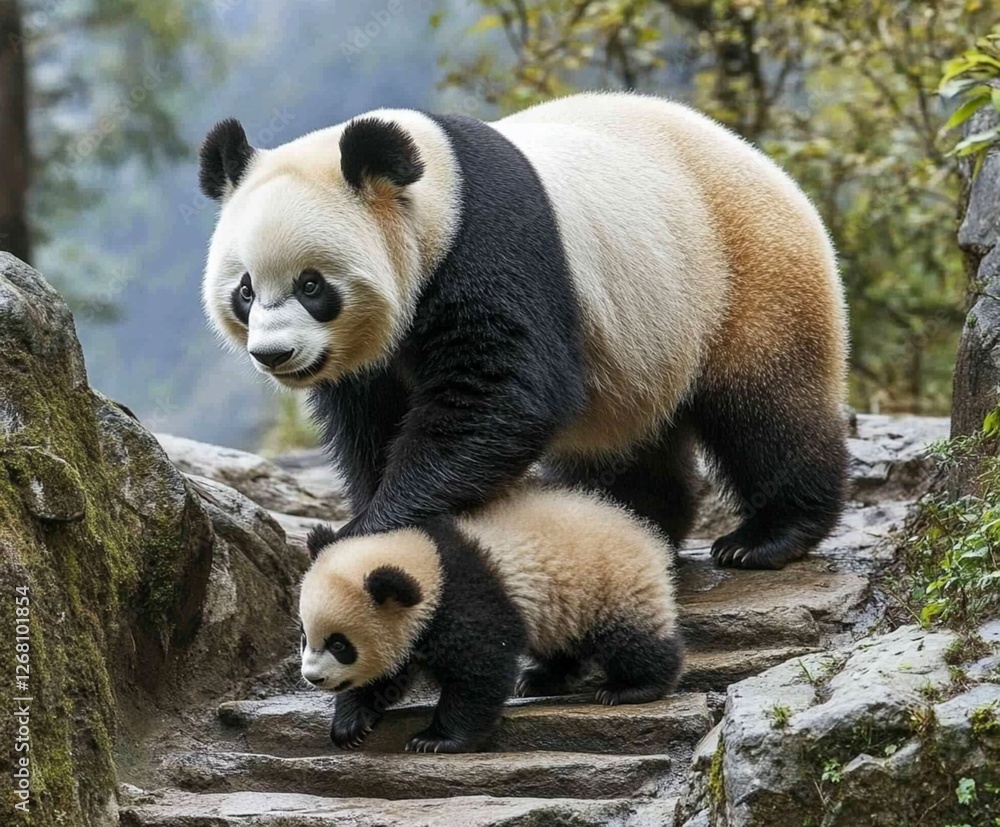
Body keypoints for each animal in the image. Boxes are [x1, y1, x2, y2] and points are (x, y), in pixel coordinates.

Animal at [199, 92, 849, 570]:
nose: (274, 354)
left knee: (765, 406)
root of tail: (764, 162)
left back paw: (767, 536)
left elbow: (500, 393)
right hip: (643, 338)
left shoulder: (486, 243)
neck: (434, 200)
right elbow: (373, 419)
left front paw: (356, 533)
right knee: (622, 442)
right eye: (246, 291)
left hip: (744, 270)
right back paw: (633, 523)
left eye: (312, 286)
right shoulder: (371, 353)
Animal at [298, 486, 683, 753]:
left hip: (610, 583)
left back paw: (631, 687)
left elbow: (480, 671)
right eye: (304, 636)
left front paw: (436, 740)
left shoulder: (465, 598)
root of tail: (639, 529)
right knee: (561, 642)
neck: (426, 562)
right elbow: (385, 677)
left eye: (339, 644)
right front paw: (350, 725)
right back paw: (540, 680)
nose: (313, 678)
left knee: (632, 638)